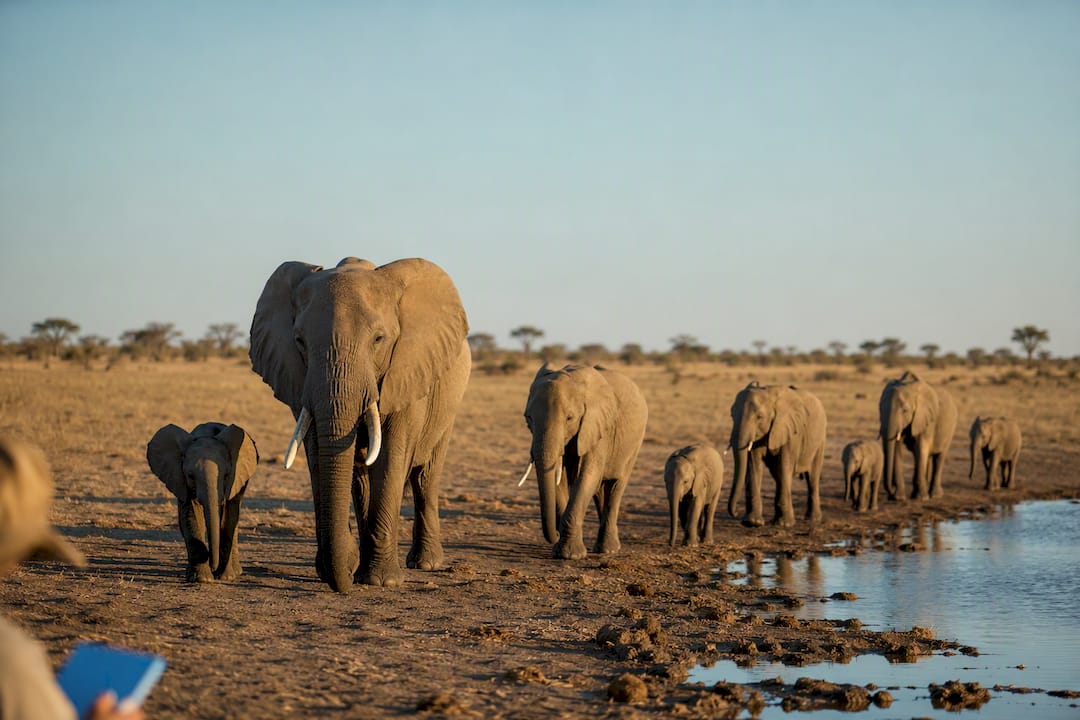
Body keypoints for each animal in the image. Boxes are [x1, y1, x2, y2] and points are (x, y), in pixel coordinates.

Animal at [146, 422, 259, 582]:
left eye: (226, 475)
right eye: (190, 476)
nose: (213, 567)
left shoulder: (235, 479)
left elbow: (229, 517)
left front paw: (226, 577)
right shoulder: (180, 480)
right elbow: (191, 515)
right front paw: (202, 579)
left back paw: (236, 572)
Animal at [250, 257, 470, 592]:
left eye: (379, 339)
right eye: (299, 341)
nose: (340, 582)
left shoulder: (407, 371)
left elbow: (391, 458)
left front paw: (382, 581)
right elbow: (320, 454)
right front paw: (346, 567)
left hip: (449, 404)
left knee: (425, 477)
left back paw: (425, 563)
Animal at [520, 363, 648, 560]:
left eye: (569, 418)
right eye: (529, 418)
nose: (554, 533)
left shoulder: (597, 426)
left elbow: (587, 476)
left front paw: (570, 555)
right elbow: (559, 479)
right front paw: (562, 549)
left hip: (635, 443)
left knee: (616, 486)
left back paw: (608, 550)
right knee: (600, 490)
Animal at [727, 382, 827, 528]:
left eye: (759, 417)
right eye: (732, 415)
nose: (735, 512)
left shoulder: (791, 432)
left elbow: (785, 465)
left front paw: (785, 524)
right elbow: (753, 466)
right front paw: (752, 522)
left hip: (820, 440)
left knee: (812, 477)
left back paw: (812, 519)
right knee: (777, 474)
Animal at [879, 371, 957, 501]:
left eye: (905, 411)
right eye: (879, 408)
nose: (891, 492)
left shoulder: (926, 419)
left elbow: (921, 447)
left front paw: (922, 498)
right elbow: (898, 449)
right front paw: (899, 498)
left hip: (950, 429)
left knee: (939, 457)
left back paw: (934, 495)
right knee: (923, 457)